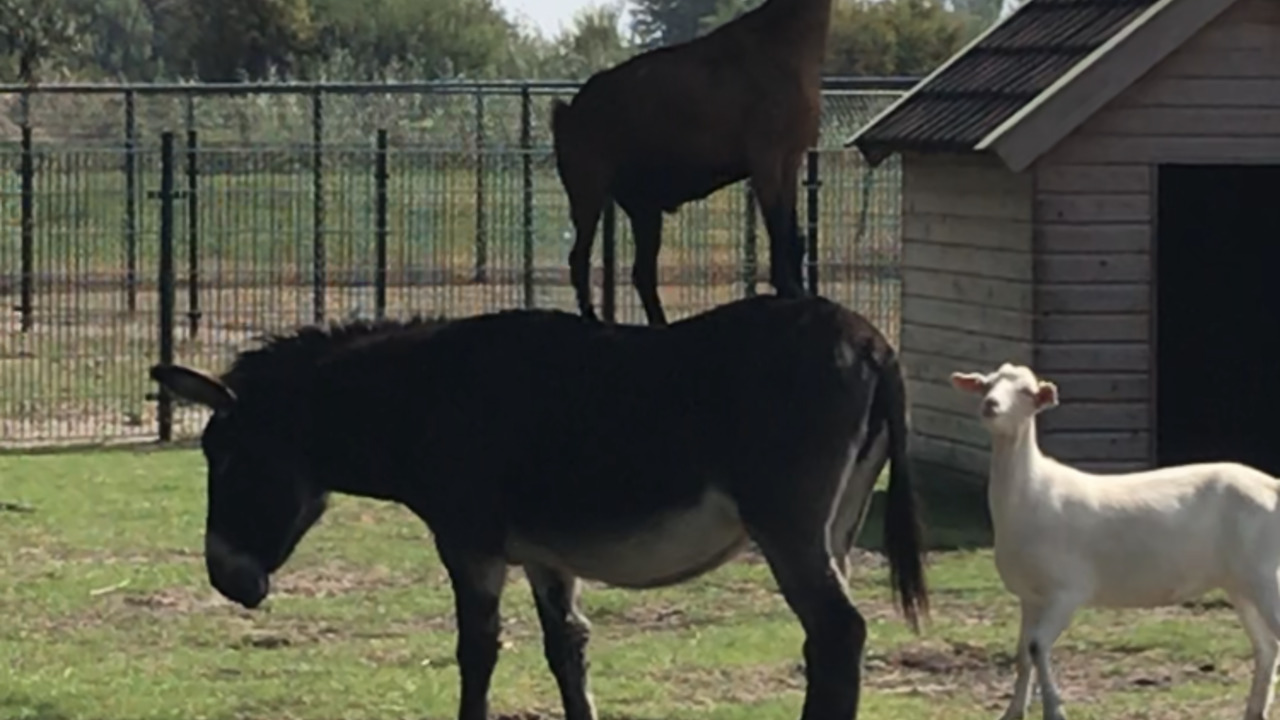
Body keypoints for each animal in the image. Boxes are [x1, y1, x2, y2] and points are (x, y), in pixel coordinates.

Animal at [149, 293, 931, 717]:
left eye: (228, 459)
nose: (227, 579)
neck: (421, 399)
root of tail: (872, 341)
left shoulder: (469, 543)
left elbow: (476, 652)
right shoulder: (547, 556)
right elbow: (568, 651)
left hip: (788, 526)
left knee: (838, 632)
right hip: (836, 528)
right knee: (829, 640)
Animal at [947, 361, 1280, 717]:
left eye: (1026, 391)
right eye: (986, 385)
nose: (990, 405)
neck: (1030, 494)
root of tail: (1272, 487)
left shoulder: (1067, 590)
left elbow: (1037, 647)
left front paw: (1055, 710)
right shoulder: (1030, 595)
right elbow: (1023, 654)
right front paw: (1013, 712)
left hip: (1263, 573)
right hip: (1239, 582)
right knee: (1267, 646)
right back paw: (1255, 710)